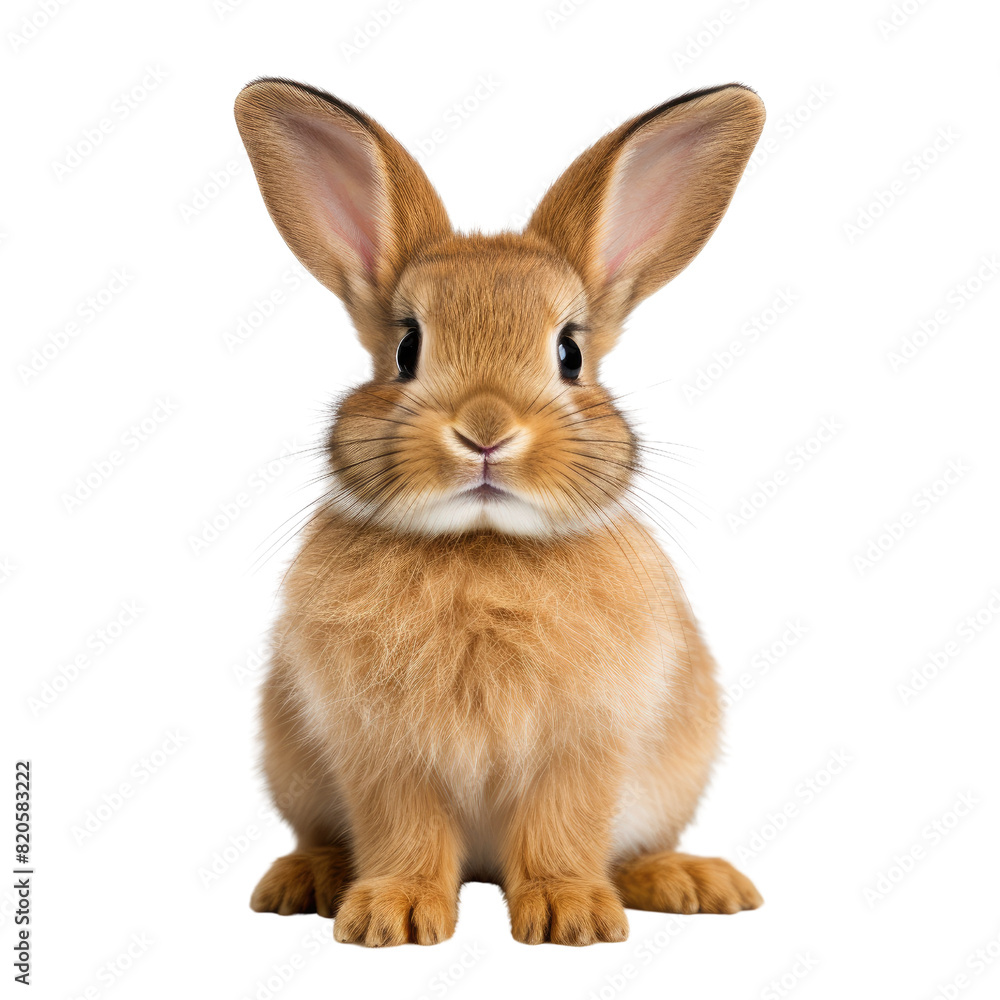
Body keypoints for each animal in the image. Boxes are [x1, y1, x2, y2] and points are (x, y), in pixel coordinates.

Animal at [235, 77, 765, 947]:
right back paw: (302, 880)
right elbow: (405, 831)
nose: (485, 429)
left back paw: (692, 881)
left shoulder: (584, 744)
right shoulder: (385, 751)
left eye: (570, 353)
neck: (482, 545)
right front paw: (392, 916)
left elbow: (562, 827)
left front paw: (568, 915)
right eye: (407, 348)